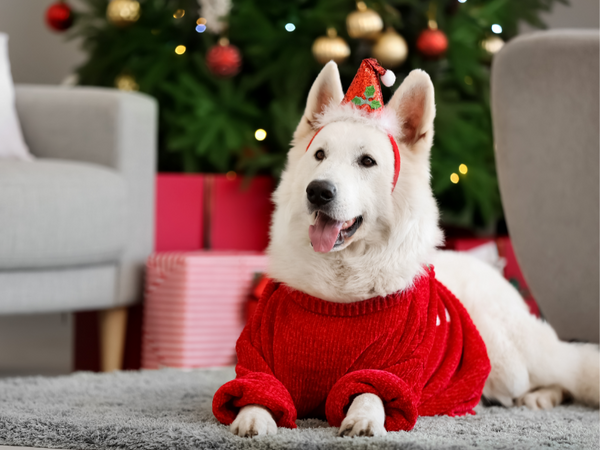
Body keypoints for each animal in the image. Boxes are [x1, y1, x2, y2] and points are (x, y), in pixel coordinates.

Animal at [230, 61, 600, 438]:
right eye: (319, 155)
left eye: (367, 161)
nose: (318, 191)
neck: (340, 295)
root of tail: (489, 269)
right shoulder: (258, 358)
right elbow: (257, 389)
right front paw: (252, 417)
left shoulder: (396, 367)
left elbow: (370, 390)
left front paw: (364, 417)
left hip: (510, 363)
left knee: (569, 367)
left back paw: (542, 396)